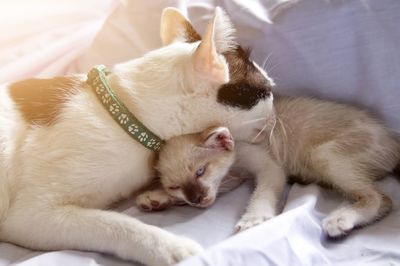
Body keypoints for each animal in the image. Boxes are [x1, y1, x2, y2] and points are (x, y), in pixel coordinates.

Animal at [0, 6, 274, 266]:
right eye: (265, 91)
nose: (275, 113)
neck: (124, 113)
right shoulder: (30, 215)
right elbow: (114, 224)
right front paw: (172, 248)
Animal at [142, 95, 400, 237]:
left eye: (200, 171)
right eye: (175, 186)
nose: (196, 200)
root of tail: (393, 140)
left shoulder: (269, 166)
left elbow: (262, 192)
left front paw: (253, 219)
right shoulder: (231, 177)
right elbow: (218, 189)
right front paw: (156, 198)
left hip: (324, 154)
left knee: (381, 199)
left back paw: (340, 219)